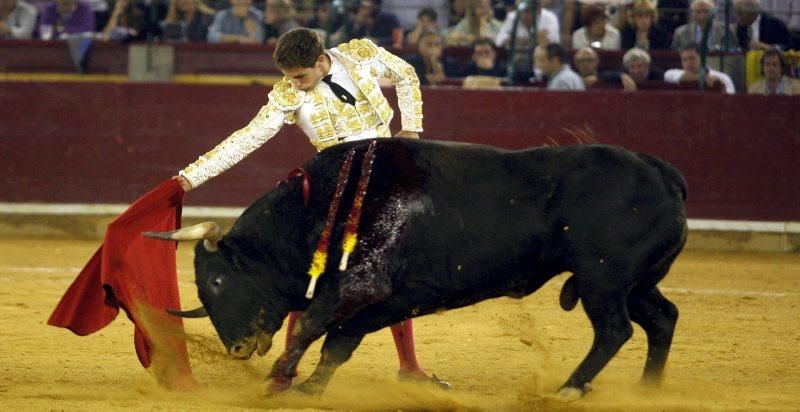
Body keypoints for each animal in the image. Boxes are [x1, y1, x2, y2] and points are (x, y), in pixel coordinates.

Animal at [148, 139, 688, 400]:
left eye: (218, 280)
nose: (238, 350)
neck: (320, 207)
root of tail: (662, 171)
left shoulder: (359, 285)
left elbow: (309, 326)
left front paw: (276, 380)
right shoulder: (387, 299)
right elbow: (338, 344)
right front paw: (307, 388)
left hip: (603, 279)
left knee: (615, 329)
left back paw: (570, 389)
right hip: (634, 283)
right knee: (662, 318)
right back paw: (647, 389)